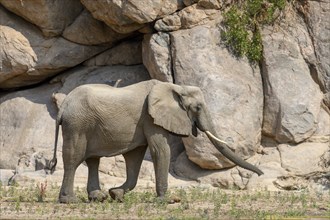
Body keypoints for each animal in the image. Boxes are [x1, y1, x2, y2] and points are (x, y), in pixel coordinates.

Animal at [47, 78, 264, 203]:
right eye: (198, 107)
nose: (260, 174)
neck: (175, 87)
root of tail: (63, 105)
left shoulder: (143, 123)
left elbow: (134, 158)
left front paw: (116, 194)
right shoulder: (150, 117)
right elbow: (160, 150)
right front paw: (167, 201)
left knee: (93, 160)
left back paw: (97, 197)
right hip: (77, 124)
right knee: (74, 159)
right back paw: (69, 200)